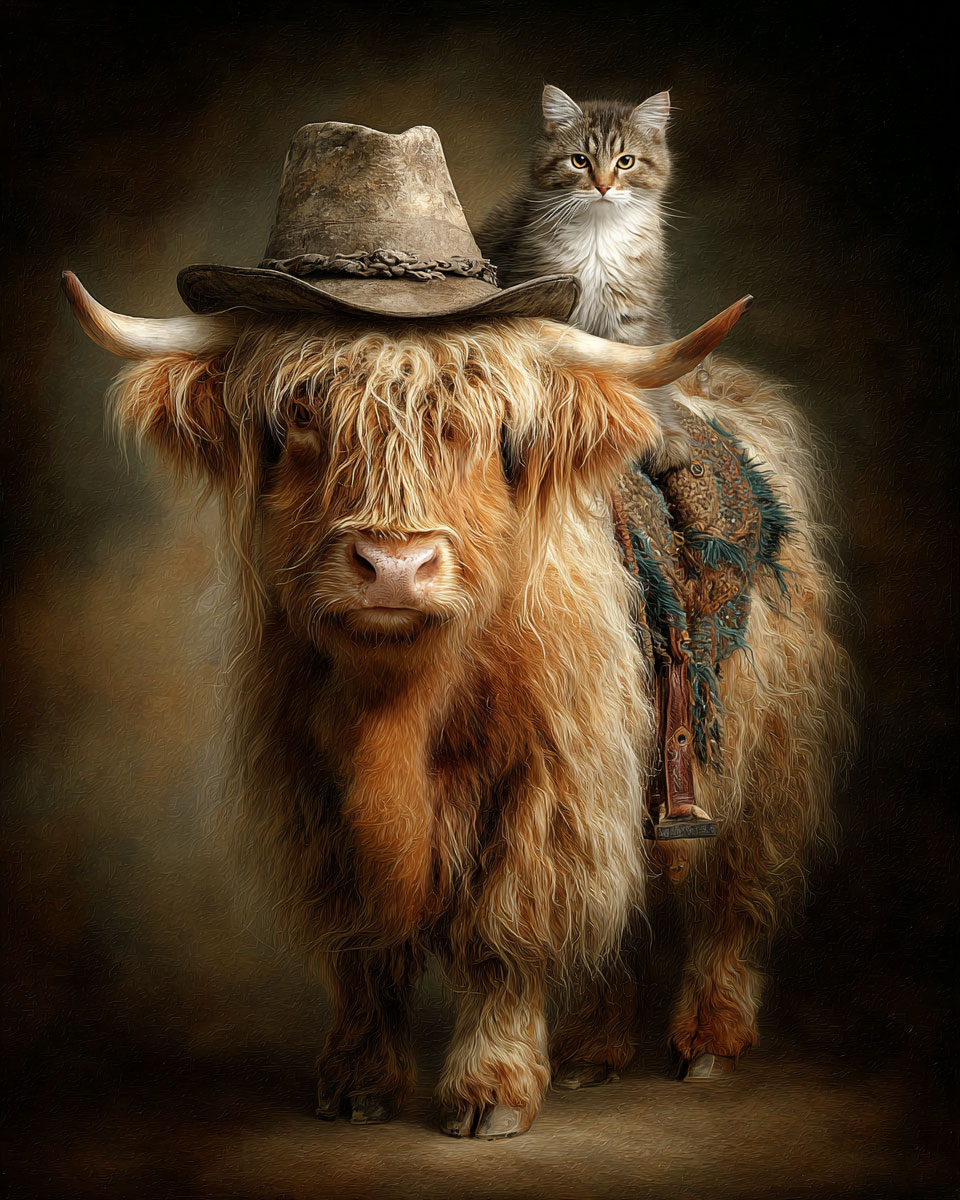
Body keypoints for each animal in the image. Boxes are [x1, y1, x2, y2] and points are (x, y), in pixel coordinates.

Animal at [64, 271, 853, 1140]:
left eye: (491, 428)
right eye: (301, 414)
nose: (394, 566)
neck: (399, 712)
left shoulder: (548, 790)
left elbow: (504, 934)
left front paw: (491, 1090)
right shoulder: (311, 798)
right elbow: (363, 951)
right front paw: (357, 1083)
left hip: (767, 757)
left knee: (734, 896)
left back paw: (709, 1038)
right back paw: (592, 1051)